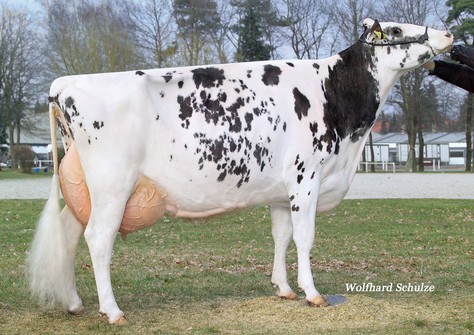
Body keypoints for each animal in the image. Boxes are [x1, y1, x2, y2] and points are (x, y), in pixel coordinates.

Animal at [28, 19, 452, 326]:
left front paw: (283, 288)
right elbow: (305, 238)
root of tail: (67, 83)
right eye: (395, 31)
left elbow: (281, 237)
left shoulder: (282, 191)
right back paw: (112, 311)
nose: (448, 34)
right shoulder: (306, 179)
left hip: (86, 190)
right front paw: (312, 293)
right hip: (113, 185)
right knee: (97, 239)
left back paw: (74, 303)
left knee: (69, 235)